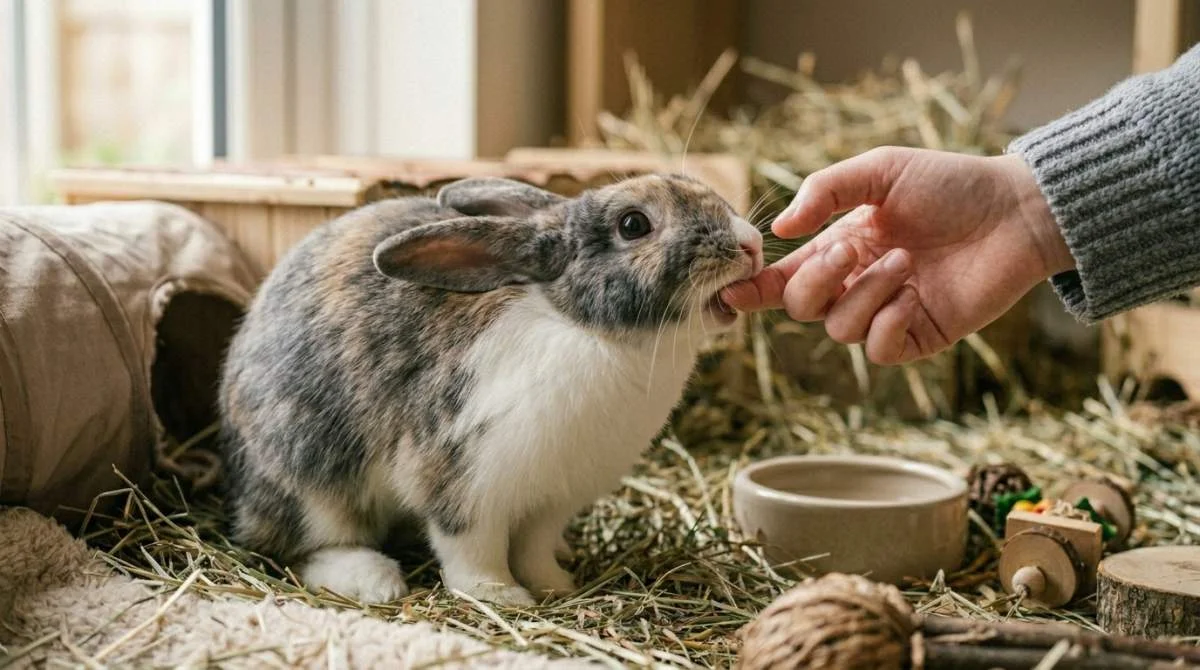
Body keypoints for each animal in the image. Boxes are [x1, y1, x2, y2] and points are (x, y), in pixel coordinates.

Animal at [218, 174, 764, 606]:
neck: (586, 330)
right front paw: (502, 596)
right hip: (312, 479)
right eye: (633, 225)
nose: (751, 244)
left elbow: (534, 548)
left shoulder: (552, 500)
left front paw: (555, 584)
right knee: (298, 547)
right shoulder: (464, 482)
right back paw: (374, 580)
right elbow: (473, 549)